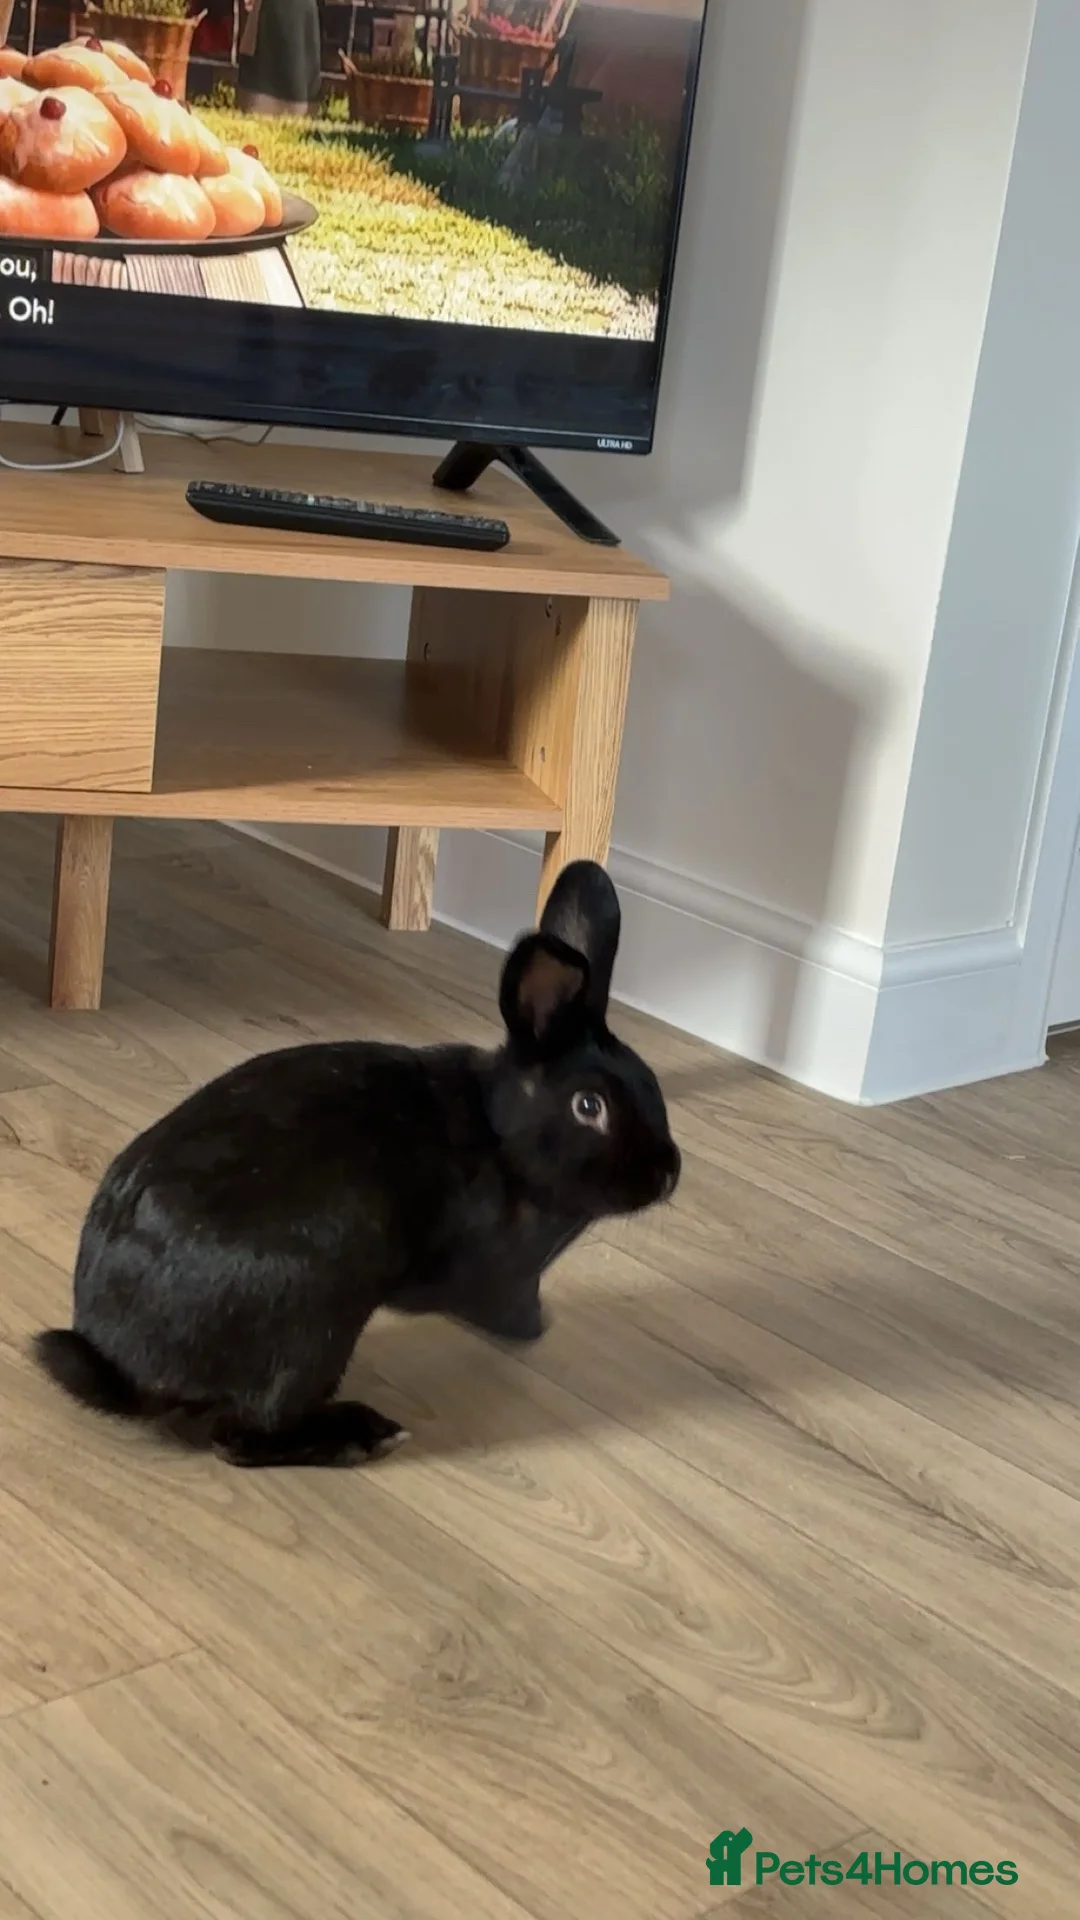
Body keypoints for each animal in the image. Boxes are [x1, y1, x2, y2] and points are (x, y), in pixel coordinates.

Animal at [33, 859, 680, 1469]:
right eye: (589, 1106)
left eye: (651, 1084)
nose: (669, 1172)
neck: (503, 1139)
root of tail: (128, 1368)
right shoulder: (492, 1271)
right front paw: (534, 1329)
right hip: (317, 1315)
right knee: (243, 1436)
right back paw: (366, 1435)